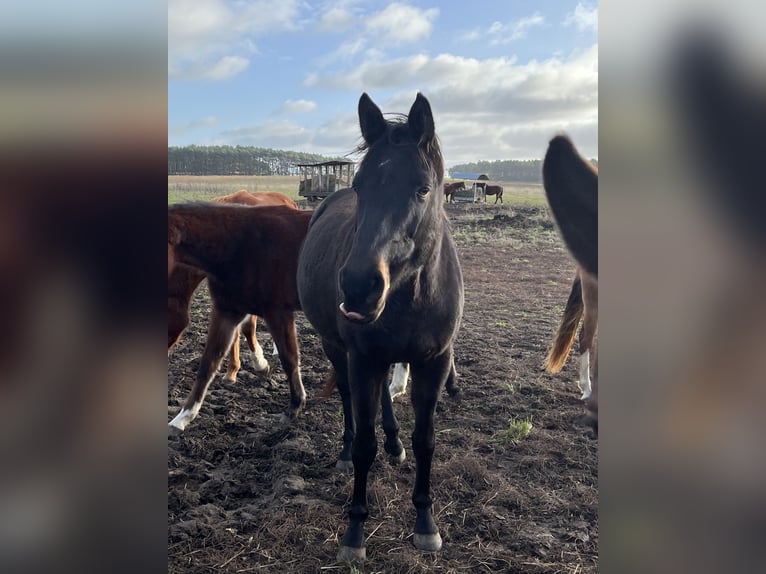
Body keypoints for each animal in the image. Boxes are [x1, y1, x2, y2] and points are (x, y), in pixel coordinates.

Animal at [296, 93, 464, 564]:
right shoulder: (362, 357)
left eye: (423, 188)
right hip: (338, 348)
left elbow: (426, 439)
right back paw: (346, 448)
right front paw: (354, 532)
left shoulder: (434, 361)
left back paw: (395, 443)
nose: (357, 287)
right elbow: (364, 446)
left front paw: (426, 523)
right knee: (350, 400)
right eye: (360, 185)